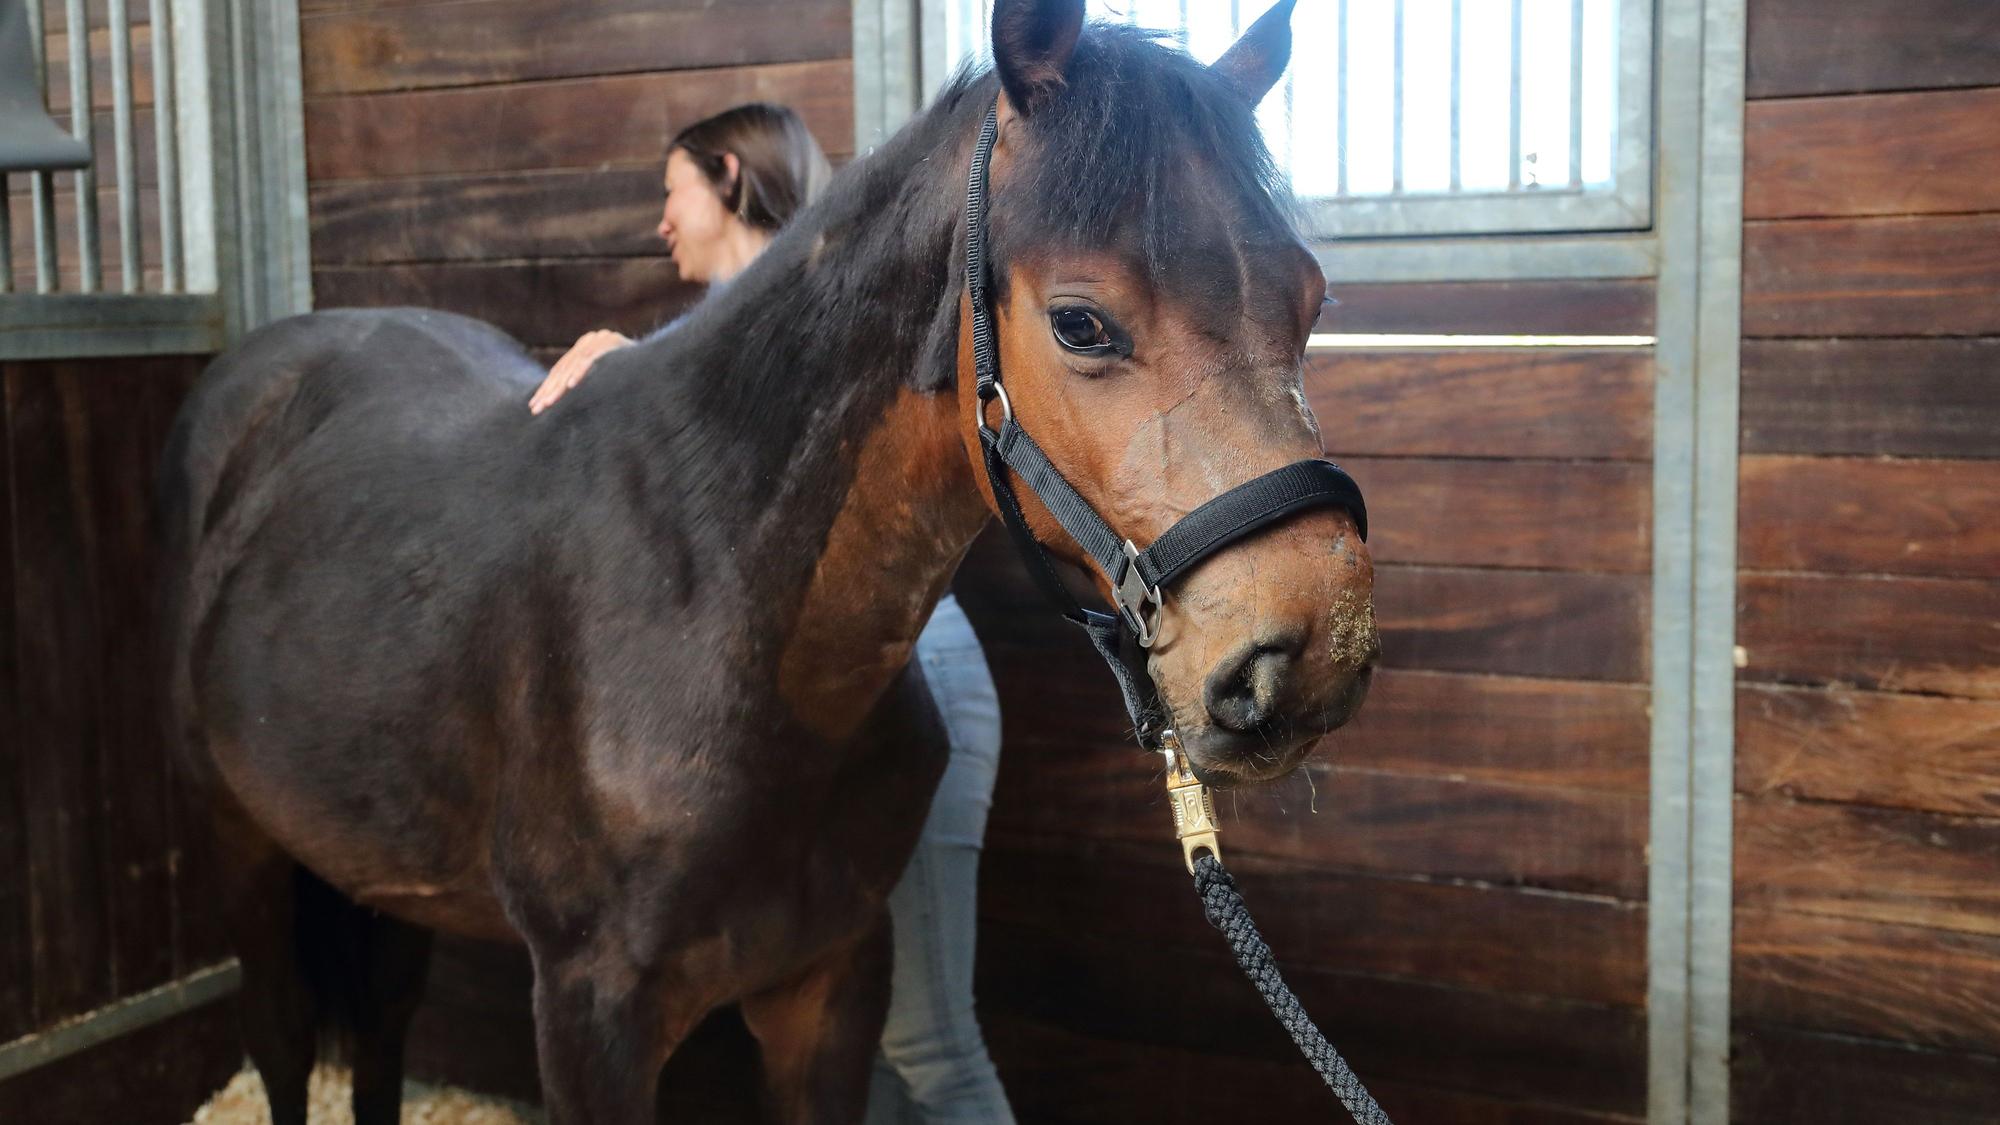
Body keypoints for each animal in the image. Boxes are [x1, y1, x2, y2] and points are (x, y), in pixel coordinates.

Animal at [157, 1, 1377, 1121]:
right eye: (1081, 323)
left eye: (1311, 298)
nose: (1311, 657)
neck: (712, 610)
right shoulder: (590, 1017)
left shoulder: (829, 984)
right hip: (240, 841)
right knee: (281, 1032)